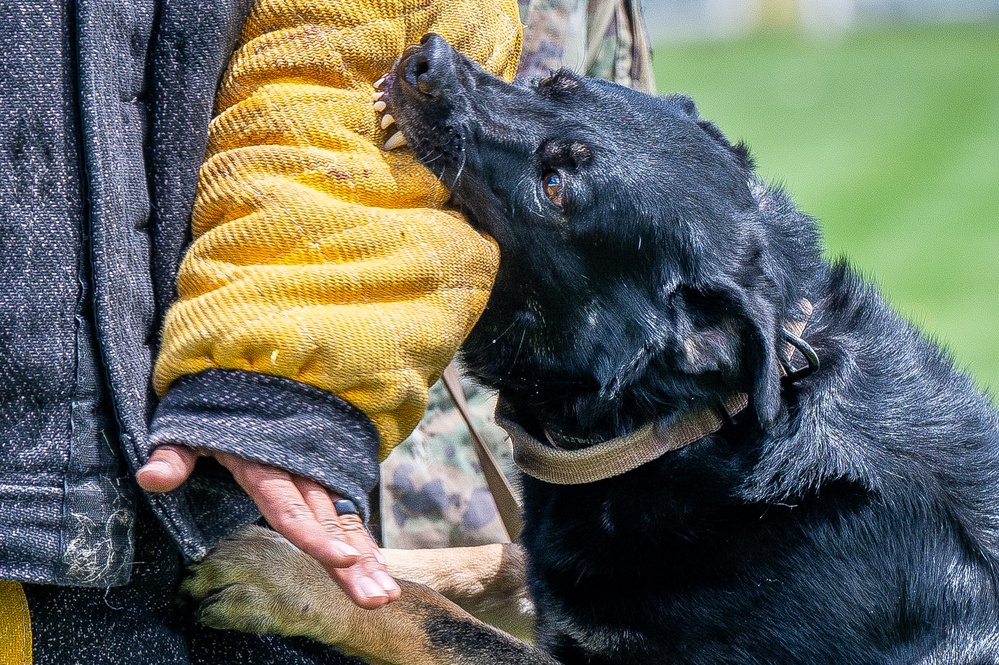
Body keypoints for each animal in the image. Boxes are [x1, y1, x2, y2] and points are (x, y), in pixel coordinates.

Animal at [186, 35, 999, 664]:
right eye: (553, 84)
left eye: (553, 185)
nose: (426, 57)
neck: (692, 429)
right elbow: (479, 561)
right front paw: (341, 549)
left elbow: (438, 623)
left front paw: (300, 580)